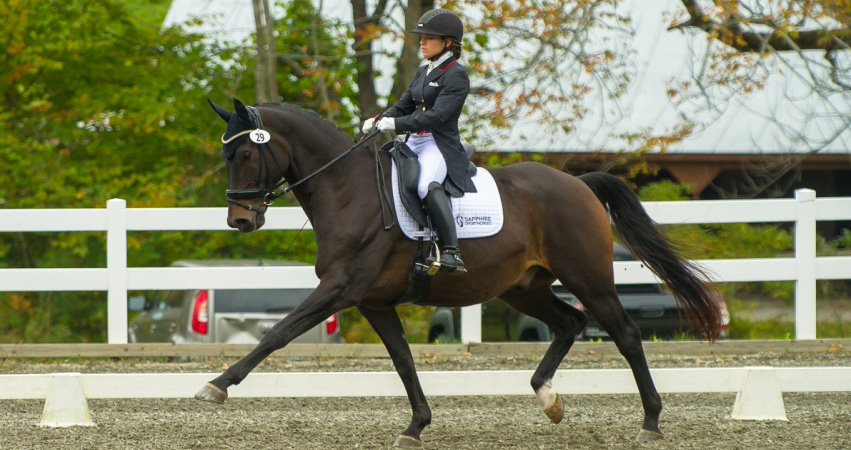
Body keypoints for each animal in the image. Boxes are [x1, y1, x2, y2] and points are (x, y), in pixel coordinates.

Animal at [196, 98, 724, 446]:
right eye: (225, 155)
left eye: (246, 154)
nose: (240, 220)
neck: (347, 191)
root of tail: (577, 183)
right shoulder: (374, 302)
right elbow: (404, 360)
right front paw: (415, 426)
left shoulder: (341, 289)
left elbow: (278, 334)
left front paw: (216, 387)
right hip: (523, 288)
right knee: (570, 323)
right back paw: (549, 399)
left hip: (588, 279)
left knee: (626, 334)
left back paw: (650, 421)